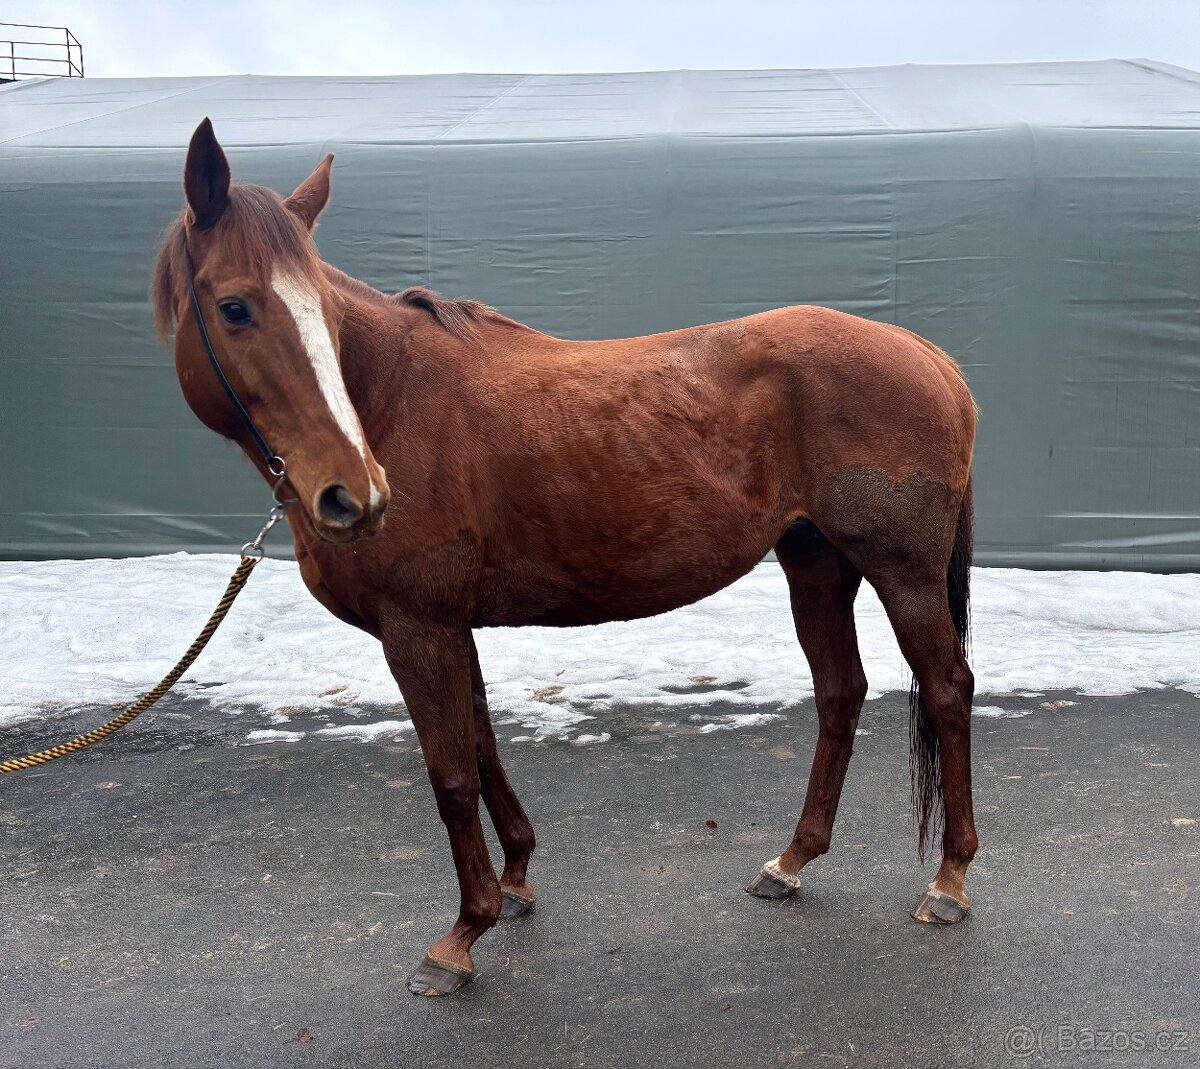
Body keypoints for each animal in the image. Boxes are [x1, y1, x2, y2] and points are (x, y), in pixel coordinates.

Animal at [152, 118, 979, 997]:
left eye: (325, 319)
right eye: (235, 307)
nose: (356, 495)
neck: (390, 398)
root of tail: (924, 353)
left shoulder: (418, 630)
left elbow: (451, 776)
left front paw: (459, 936)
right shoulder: (450, 628)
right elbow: (482, 747)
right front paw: (514, 879)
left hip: (903, 573)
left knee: (947, 688)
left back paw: (949, 880)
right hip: (815, 565)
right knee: (840, 693)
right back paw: (791, 861)